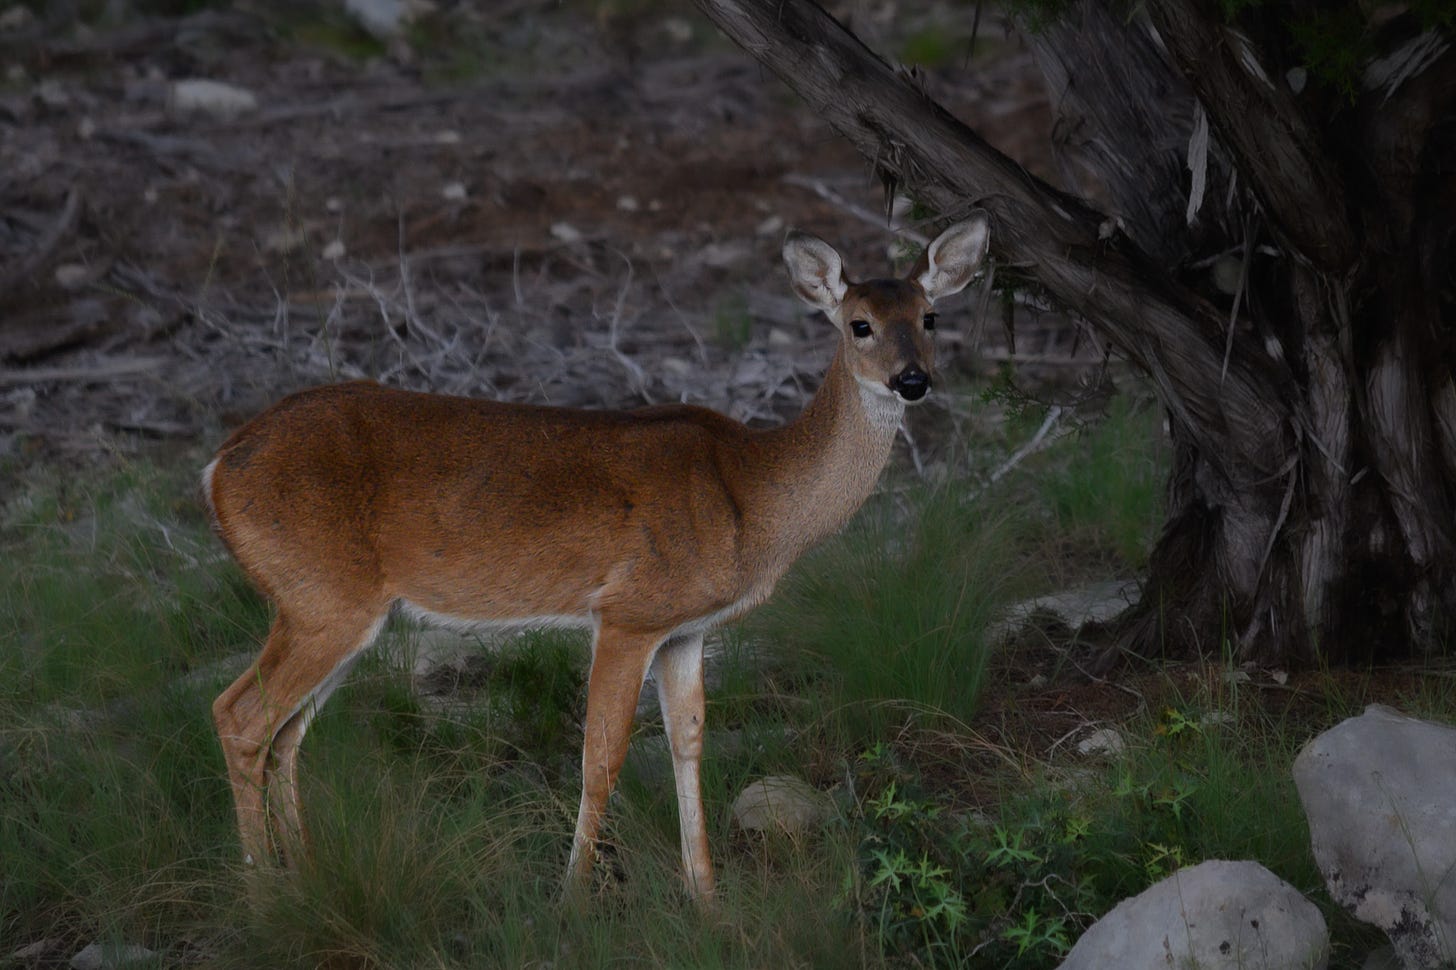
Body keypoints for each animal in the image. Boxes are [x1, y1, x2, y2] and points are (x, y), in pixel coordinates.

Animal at [202, 211, 990, 897]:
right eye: (859, 324)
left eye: (930, 318)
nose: (912, 380)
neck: (751, 497)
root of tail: (216, 468)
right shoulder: (628, 612)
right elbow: (601, 756)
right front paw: (572, 900)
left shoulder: (685, 630)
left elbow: (687, 744)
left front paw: (707, 899)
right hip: (320, 596)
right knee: (240, 717)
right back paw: (260, 892)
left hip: (344, 612)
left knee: (287, 734)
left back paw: (303, 875)